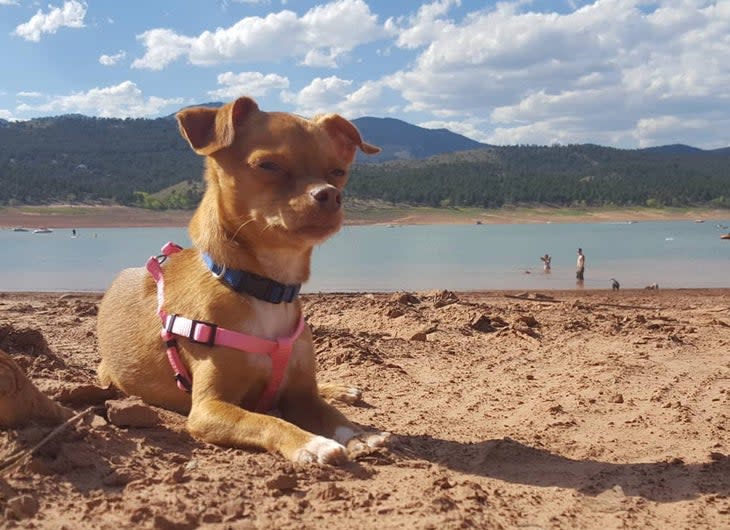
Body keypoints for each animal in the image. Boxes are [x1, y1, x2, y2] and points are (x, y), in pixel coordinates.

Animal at [96, 96, 386, 462]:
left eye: (338, 172)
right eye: (268, 165)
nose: (331, 194)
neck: (265, 288)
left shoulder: (301, 396)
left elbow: (328, 412)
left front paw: (357, 433)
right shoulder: (208, 408)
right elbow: (265, 421)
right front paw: (311, 442)